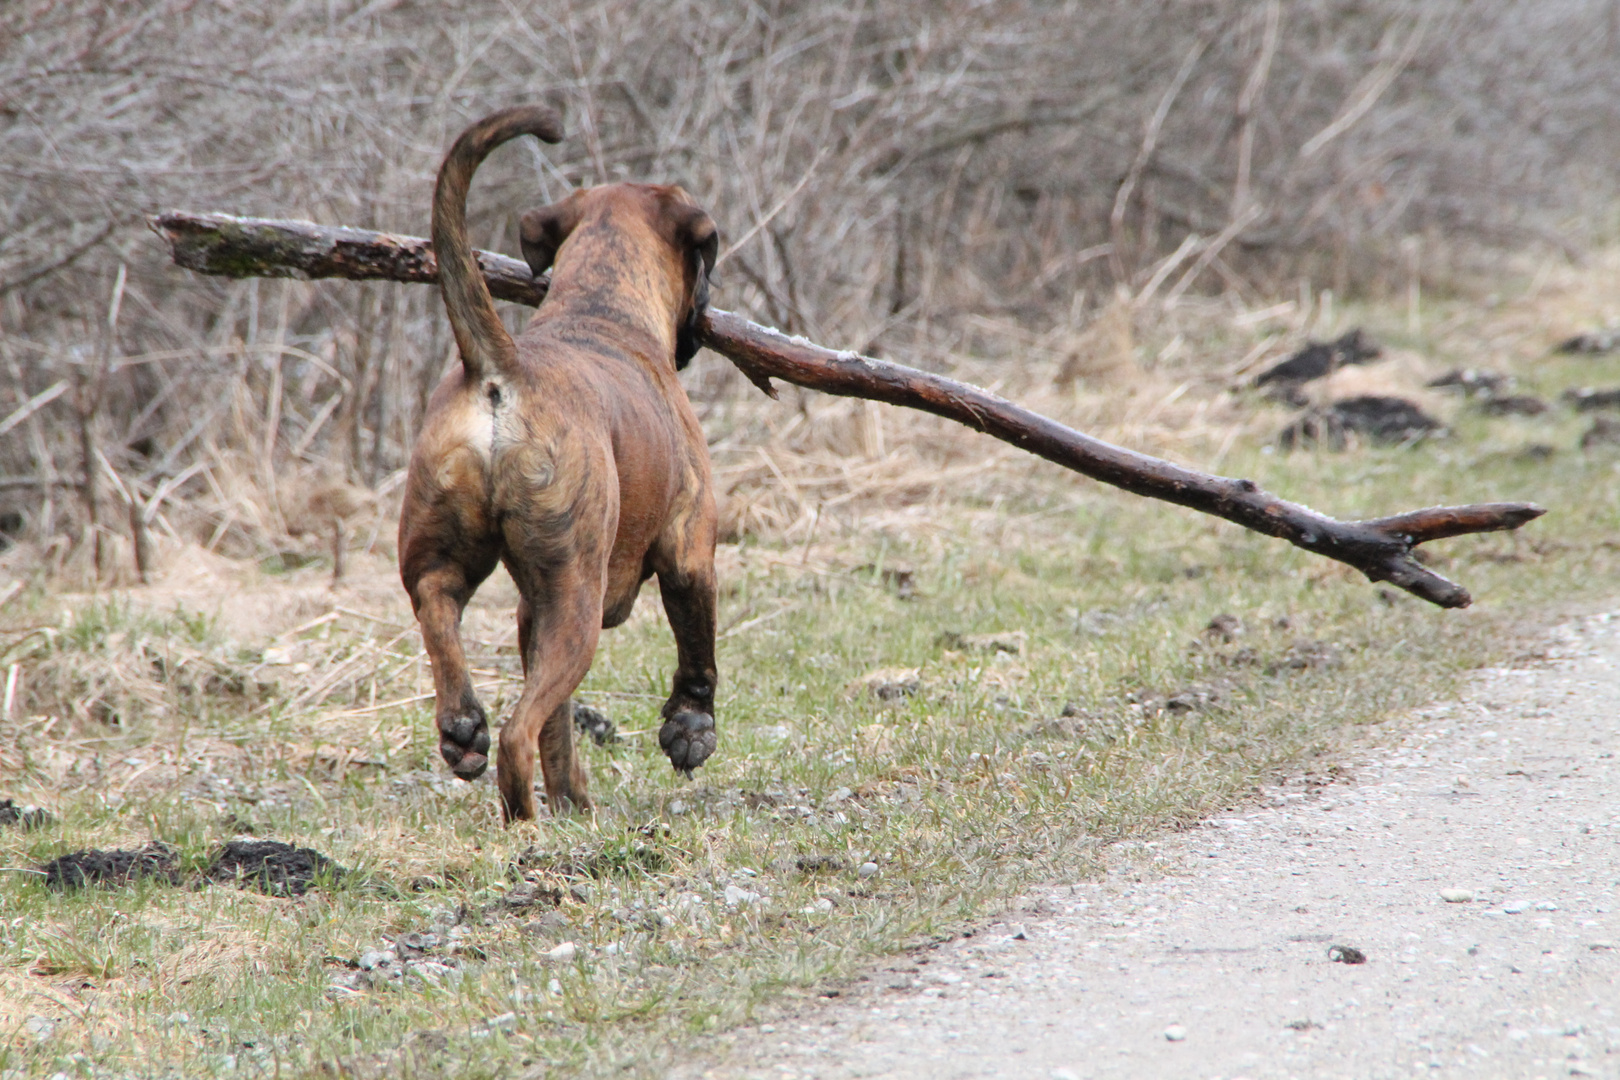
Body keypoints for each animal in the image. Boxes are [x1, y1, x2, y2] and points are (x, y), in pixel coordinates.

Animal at [398, 105, 722, 822]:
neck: (601, 302)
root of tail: (500, 368)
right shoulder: (689, 549)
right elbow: (698, 647)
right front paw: (690, 730)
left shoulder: (529, 613)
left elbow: (560, 727)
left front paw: (573, 794)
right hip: (575, 602)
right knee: (518, 733)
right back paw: (524, 821)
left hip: (453, 556)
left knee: (438, 608)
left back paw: (463, 728)